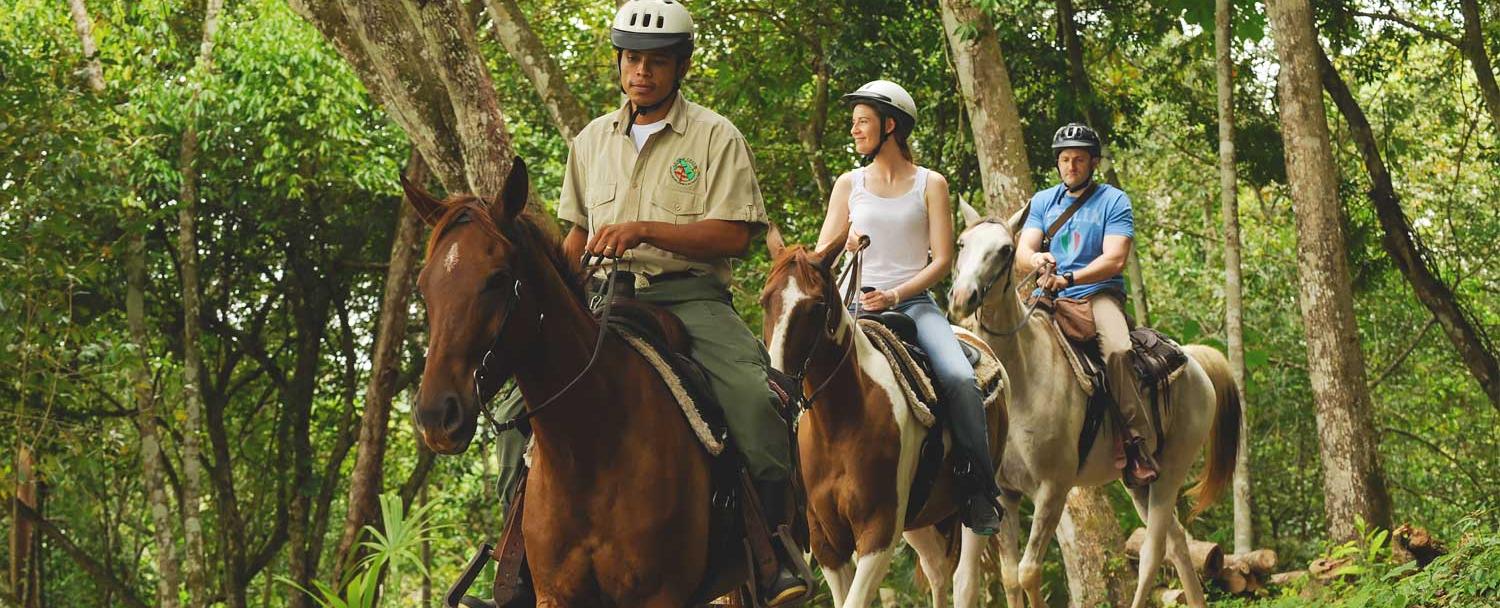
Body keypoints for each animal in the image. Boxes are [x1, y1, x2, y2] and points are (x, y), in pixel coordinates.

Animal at [408, 158, 741, 603]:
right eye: (424, 286)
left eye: (497, 279)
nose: (435, 417)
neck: (589, 449)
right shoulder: (556, 594)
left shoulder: (659, 595)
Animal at [762, 241, 1008, 606]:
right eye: (765, 300)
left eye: (816, 306)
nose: (777, 383)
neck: (840, 423)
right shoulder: (825, 541)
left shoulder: (879, 532)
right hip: (919, 520)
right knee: (937, 570)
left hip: (972, 510)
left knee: (965, 580)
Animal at [948, 202, 1242, 606]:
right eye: (962, 243)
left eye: (1006, 250)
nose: (962, 297)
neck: (1022, 378)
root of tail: (1194, 360)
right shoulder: (1004, 493)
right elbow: (1009, 577)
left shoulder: (1053, 489)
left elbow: (1028, 572)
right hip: (1139, 482)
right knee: (1178, 542)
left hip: (1172, 470)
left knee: (1152, 554)